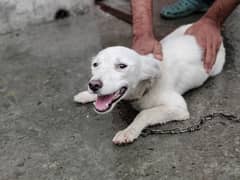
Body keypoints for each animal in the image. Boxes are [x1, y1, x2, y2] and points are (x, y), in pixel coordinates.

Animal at [73, 24, 225, 145]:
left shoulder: (179, 108)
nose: (93, 85)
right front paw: (86, 95)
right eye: (95, 64)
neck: (145, 87)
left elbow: (144, 113)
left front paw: (128, 131)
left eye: (122, 66)